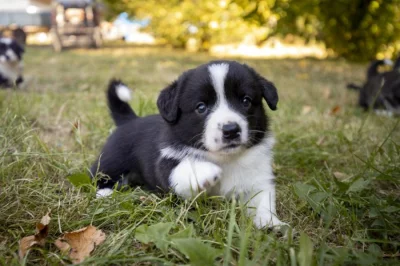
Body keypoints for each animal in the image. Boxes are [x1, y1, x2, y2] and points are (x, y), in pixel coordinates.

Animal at [90, 60, 288, 229]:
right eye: (201, 107)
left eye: (246, 101)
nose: (231, 130)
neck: (225, 158)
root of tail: (129, 120)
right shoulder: (165, 167)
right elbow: (183, 168)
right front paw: (205, 171)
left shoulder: (258, 178)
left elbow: (262, 200)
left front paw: (270, 224)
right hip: (112, 160)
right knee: (98, 173)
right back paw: (105, 193)